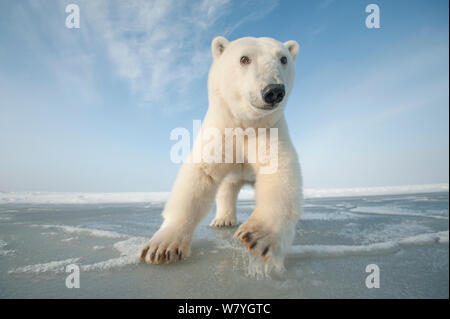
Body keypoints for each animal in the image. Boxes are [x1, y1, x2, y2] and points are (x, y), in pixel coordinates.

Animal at [141, 36, 302, 274]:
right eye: (244, 59)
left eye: (283, 58)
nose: (273, 90)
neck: (245, 124)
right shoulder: (220, 130)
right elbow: (200, 175)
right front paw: (162, 247)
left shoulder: (269, 130)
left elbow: (279, 172)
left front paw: (257, 236)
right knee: (226, 189)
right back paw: (223, 220)